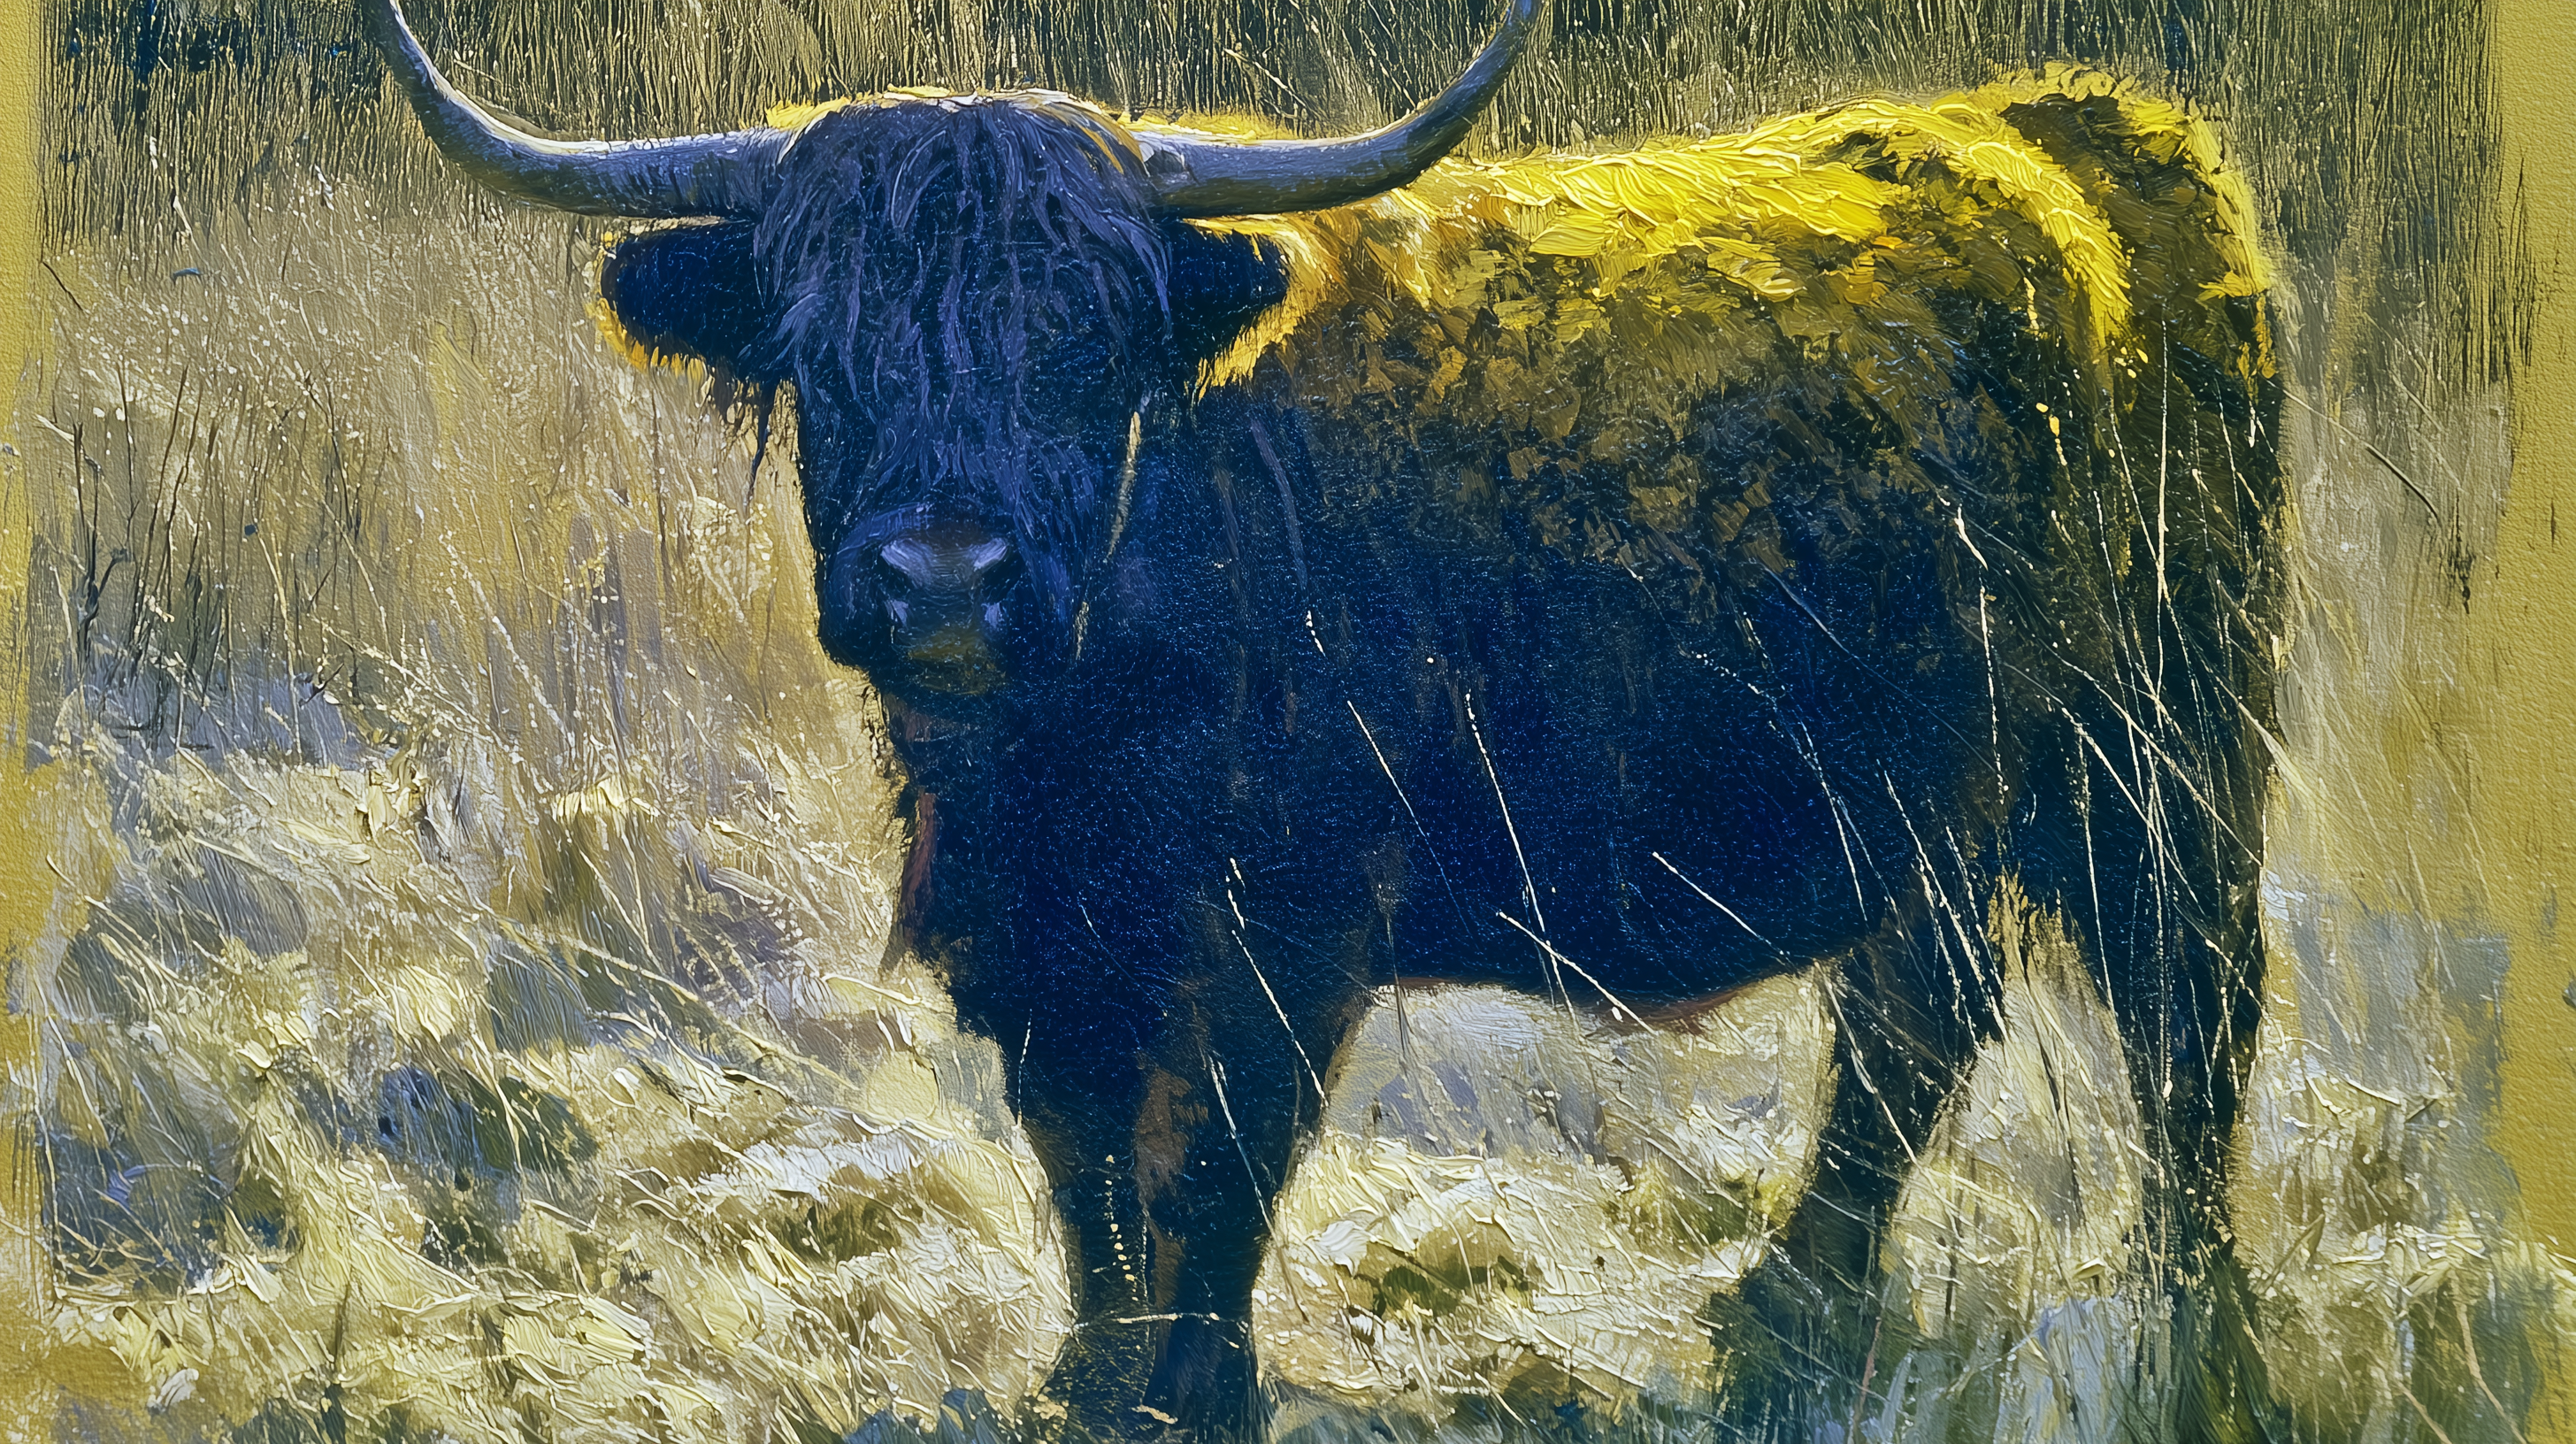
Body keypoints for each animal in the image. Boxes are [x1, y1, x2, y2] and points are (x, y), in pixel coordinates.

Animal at [361, 0, 2286, 1436]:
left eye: (1090, 337)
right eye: (826, 345)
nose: (943, 579)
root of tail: (2079, 126)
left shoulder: (1284, 931)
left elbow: (1211, 1173)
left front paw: (1196, 1393)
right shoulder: (1039, 937)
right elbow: (1086, 1173)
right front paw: (1090, 1384)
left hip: (2172, 742)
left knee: (2175, 1023)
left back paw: (2166, 1339)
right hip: (1959, 788)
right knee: (1923, 1010)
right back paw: (1795, 1323)